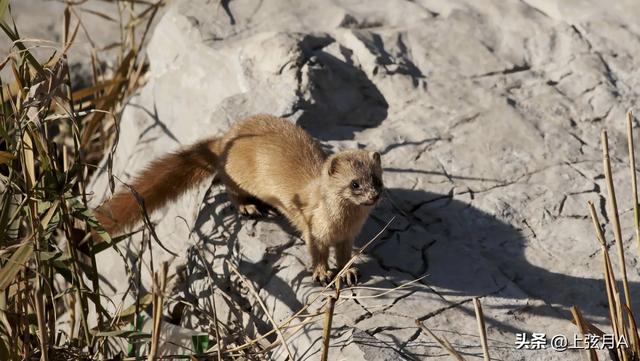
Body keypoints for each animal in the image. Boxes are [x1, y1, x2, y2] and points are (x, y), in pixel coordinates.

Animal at [96, 114, 380, 284]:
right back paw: (249, 206)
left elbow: (344, 255)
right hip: (237, 177)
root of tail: (226, 139)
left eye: (377, 179)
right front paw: (321, 274)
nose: (374, 195)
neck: (341, 223)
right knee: (230, 189)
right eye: (355, 183)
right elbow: (317, 252)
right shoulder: (313, 228)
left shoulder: (347, 236)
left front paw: (349, 272)